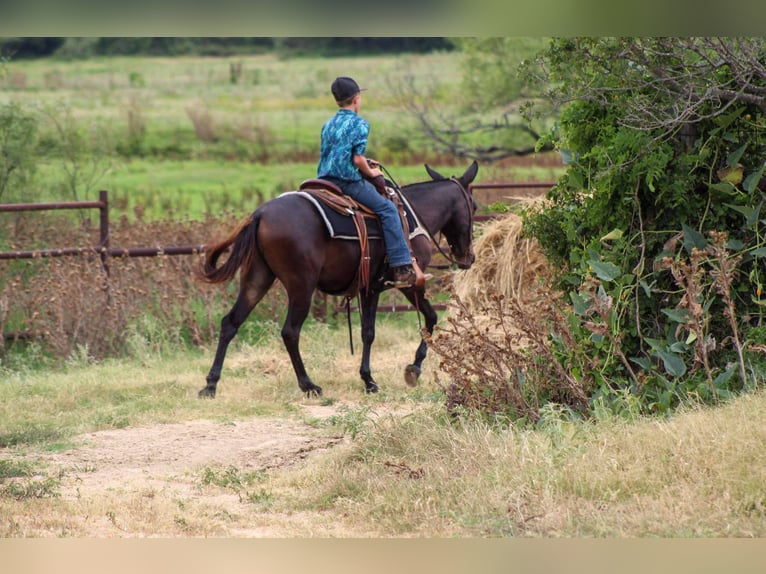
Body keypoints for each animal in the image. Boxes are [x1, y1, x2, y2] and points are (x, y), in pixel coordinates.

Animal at [198, 160, 478, 398]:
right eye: (473, 206)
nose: (469, 258)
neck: (412, 216)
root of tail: (260, 215)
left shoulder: (369, 288)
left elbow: (368, 332)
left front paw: (369, 379)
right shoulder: (408, 282)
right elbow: (426, 318)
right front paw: (411, 369)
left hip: (257, 278)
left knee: (231, 323)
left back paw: (211, 384)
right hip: (301, 286)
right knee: (290, 332)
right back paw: (308, 385)